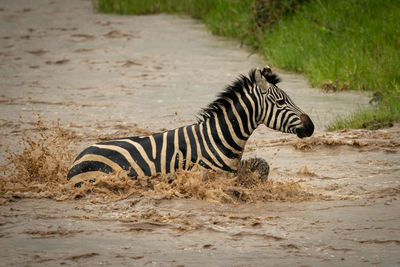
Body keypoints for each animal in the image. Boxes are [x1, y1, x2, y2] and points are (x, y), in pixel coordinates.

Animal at [67, 67, 314, 186]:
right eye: (281, 102)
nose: (310, 126)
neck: (219, 139)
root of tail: (78, 158)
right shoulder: (206, 174)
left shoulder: (233, 170)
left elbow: (262, 165)